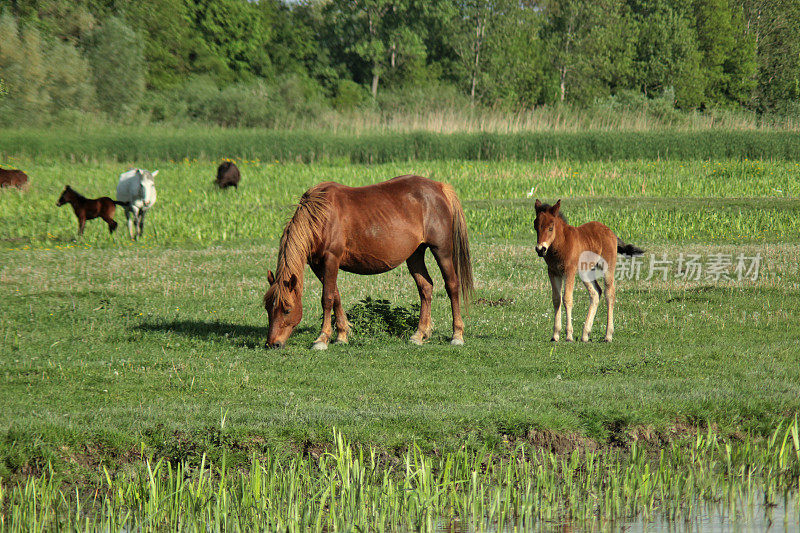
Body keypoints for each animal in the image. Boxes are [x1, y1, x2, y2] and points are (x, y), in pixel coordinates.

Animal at [262, 175, 476, 350]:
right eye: (267, 308)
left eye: (287, 309)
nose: (273, 344)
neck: (321, 216)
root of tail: (440, 187)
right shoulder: (318, 265)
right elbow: (336, 296)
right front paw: (342, 335)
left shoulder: (331, 259)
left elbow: (327, 298)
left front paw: (322, 339)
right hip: (415, 254)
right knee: (426, 288)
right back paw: (419, 334)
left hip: (442, 251)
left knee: (452, 286)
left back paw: (457, 335)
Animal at [536, 198, 648, 340]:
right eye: (535, 226)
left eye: (550, 228)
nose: (540, 249)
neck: (561, 244)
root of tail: (610, 231)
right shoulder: (553, 272)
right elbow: (556, 299)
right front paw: (555, 335)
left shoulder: (569, 271)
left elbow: (567, 299)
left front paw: (569, 335)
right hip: (586, 272)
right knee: (595, 293)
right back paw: (585, 334)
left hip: (607, 268)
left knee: (609, 293)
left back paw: (608, 335)